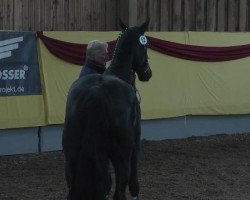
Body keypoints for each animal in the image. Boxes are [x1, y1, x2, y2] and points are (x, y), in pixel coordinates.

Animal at [62, 19, 152, 200]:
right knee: (119, 191)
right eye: (145, 46)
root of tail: (96, 91)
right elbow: (134, 183)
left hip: (71, 156)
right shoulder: (135, 144)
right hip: (121, 156)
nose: (148, 73)